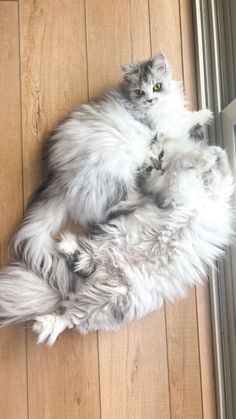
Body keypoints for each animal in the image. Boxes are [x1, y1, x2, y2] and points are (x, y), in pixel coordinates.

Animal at [0, 134, 232, 344]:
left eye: (160, 156)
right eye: (152, 164)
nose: (159, 166)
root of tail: (108, 270)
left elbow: (220, 174)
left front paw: (214, 155)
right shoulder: (174, 192)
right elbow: (190, 165)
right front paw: (210, 155)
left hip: (109, 297)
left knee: (73, 303)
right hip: (108, 255)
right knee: (71, 310)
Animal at [12, 51, 212, 292]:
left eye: (156, 86)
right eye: (139, 91)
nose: (149, 99)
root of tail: (59, 183)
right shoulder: (165, 126)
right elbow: (185, 120)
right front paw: (206, 114)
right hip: (116, 175)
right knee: (114, 208)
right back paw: (150, 198)